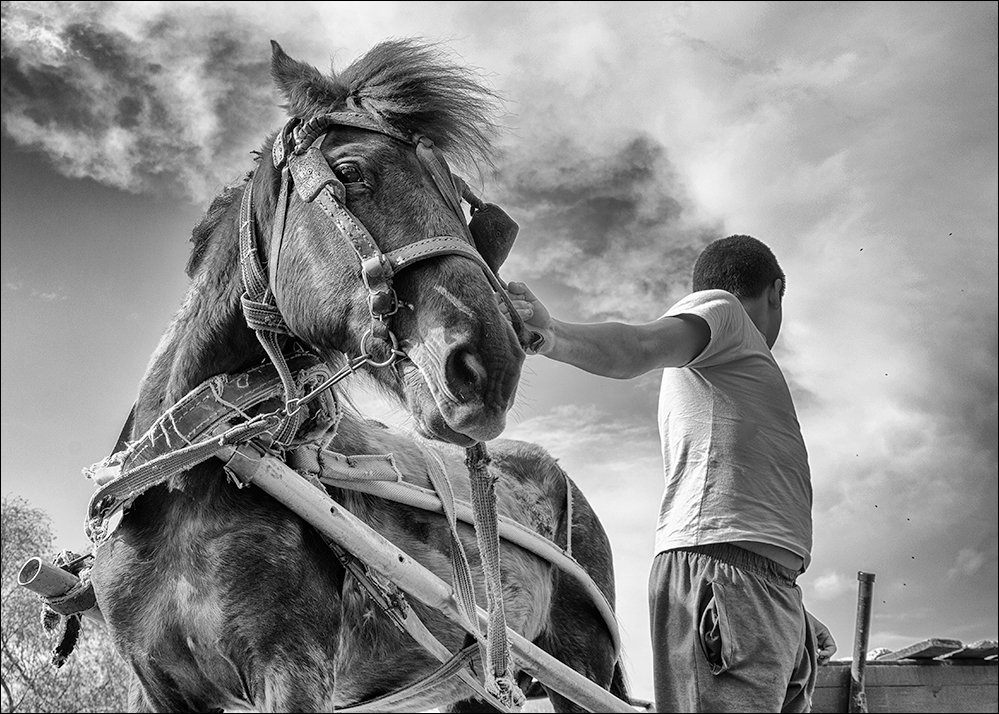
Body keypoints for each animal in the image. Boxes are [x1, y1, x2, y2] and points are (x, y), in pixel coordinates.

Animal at [90, 40, 628, 712]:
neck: (189, 470)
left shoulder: (291, 668)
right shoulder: (152, 683)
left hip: (585, 668)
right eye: (349, 173)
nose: (494, 362)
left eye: (474, 214)